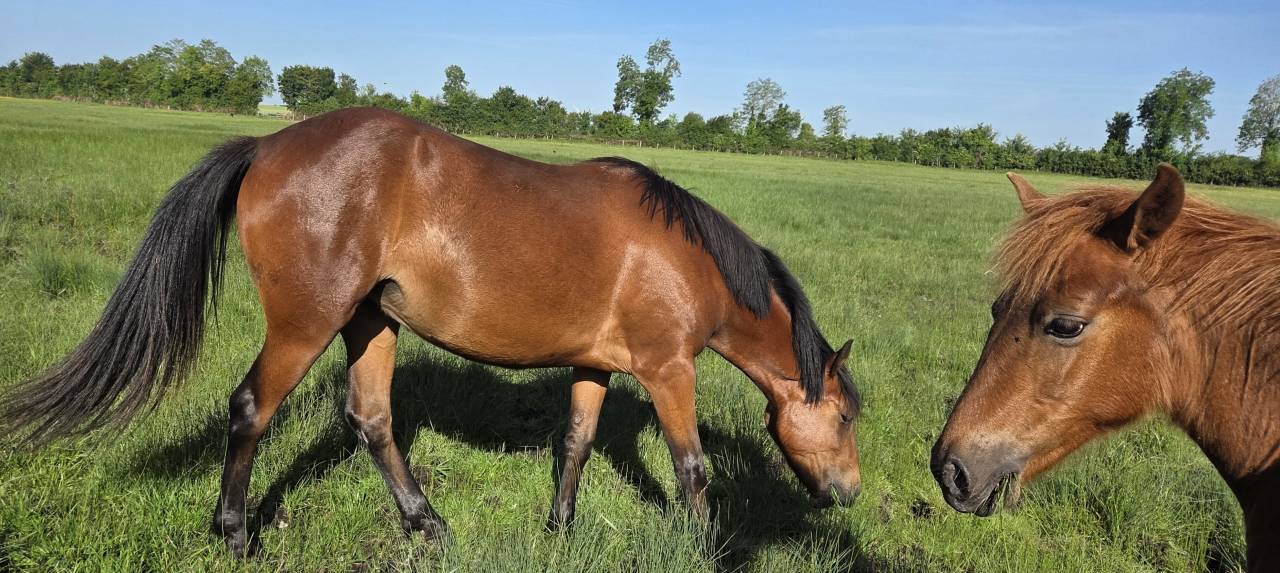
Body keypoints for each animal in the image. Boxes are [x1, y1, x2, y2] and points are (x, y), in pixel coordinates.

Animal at [0, 107, 862, 557]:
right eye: (849, 416)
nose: (849, 492)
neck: (686, 257)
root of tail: (269, 143)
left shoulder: (595, 366)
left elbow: (576, 444)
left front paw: (559, 528)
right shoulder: (668, 370)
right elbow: (692, 468)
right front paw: (709, 547)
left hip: (371, 322)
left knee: (373, 420)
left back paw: (426, 521)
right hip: (306, 325)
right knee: (252, 410)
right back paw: (236, 533)